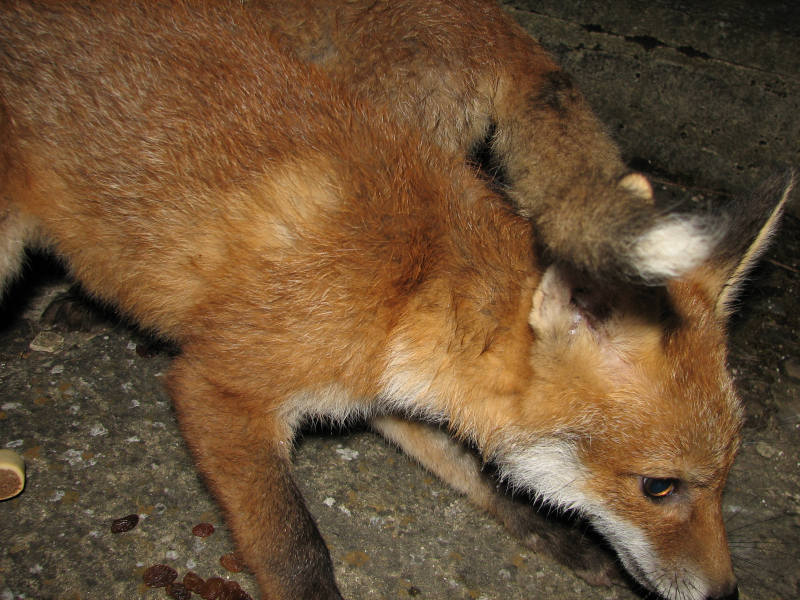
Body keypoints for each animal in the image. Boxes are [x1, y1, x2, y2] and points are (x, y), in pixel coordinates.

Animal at [0, 2, 791, 600]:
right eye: (660, 487)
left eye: (725, 478)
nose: (726, 594)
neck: (408, 288)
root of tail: (496, 24)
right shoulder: (220, 390)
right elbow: (296, 551)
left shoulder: (387, 391)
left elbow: (472, 466)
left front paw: (550, 532)